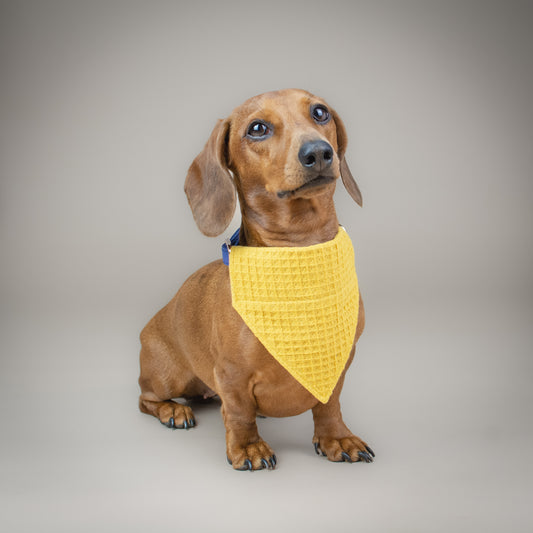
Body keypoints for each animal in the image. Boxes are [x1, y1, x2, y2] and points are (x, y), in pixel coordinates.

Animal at [138, 87, 374, 470]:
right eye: (258, 128)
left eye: (320, 112)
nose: (318, 152)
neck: (299, 252)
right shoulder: (231, 375)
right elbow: (238, 414)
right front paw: (248, 447)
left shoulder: (339, 364)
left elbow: (329, 405)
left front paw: (337, 437)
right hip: (167, 376)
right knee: (145, 398)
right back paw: (173, 411)